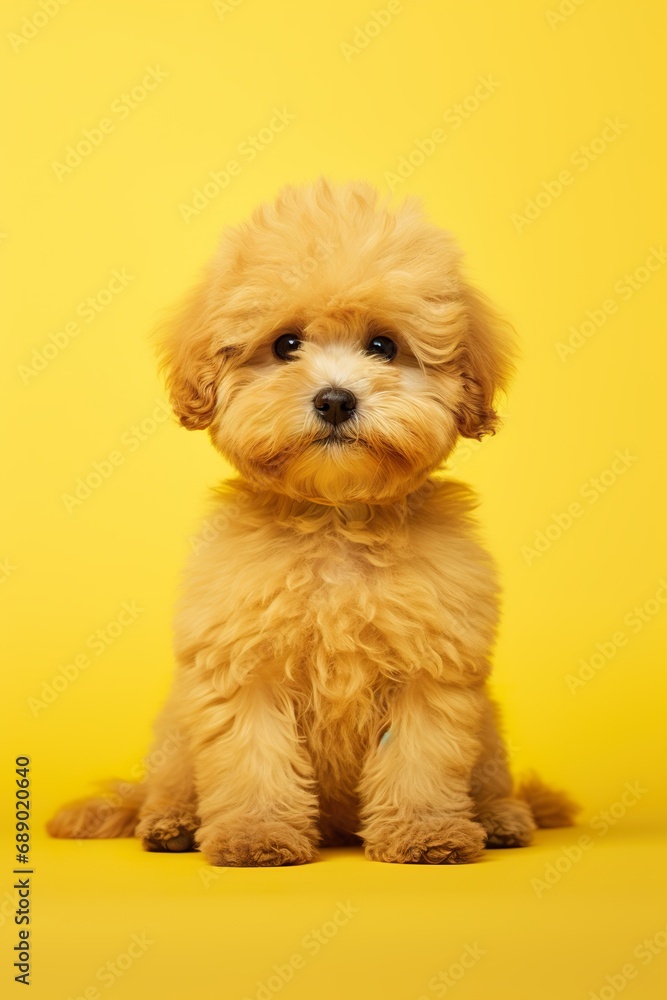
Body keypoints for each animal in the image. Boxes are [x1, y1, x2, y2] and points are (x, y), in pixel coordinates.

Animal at [49, 182, 576, 868]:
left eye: (383, 346)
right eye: (285, 345)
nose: (334, 398)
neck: (335, 519)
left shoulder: (430, 668)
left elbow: (420, 758)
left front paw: (424, 831)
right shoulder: (244, 663)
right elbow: (253, 756)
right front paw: (255, 835)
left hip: (487, 730)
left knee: (489, 776)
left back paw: (500, 818)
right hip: (176, 732)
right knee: (168, 782)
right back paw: (172, 822)